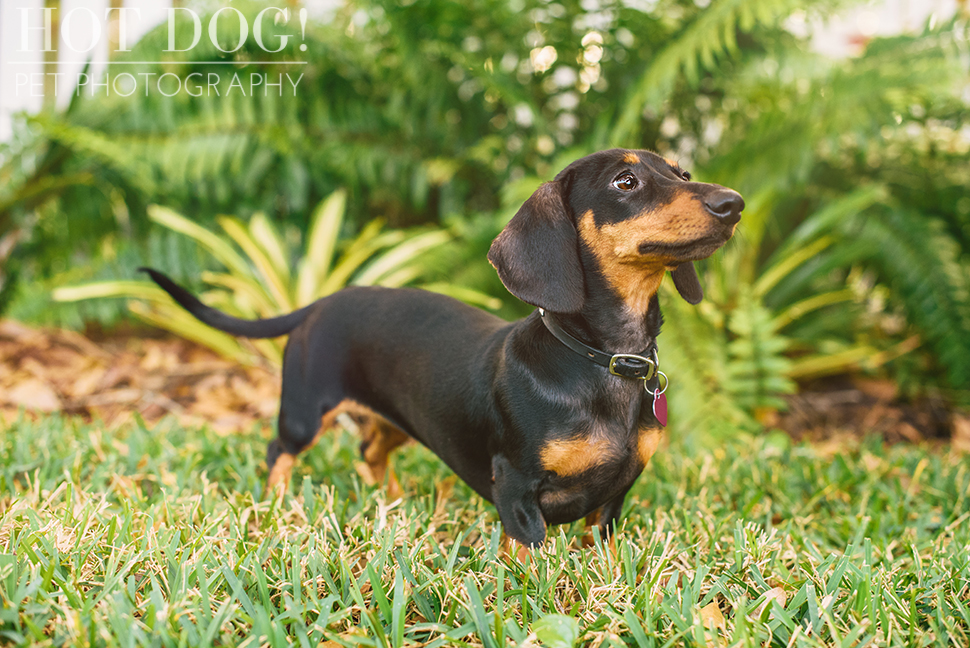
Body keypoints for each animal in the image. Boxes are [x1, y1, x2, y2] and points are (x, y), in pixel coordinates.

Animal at [142, 149, 740, 548]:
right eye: (626, 180)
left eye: (683, 174)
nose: (731, 203)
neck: (601, 361)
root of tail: (321, 301)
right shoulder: (516, 488)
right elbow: (532, 555)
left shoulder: (614, 498)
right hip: (305, 412)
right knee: (278, 451)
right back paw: (276, 504)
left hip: (396, 417)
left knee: (370, 451)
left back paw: (393, 500)